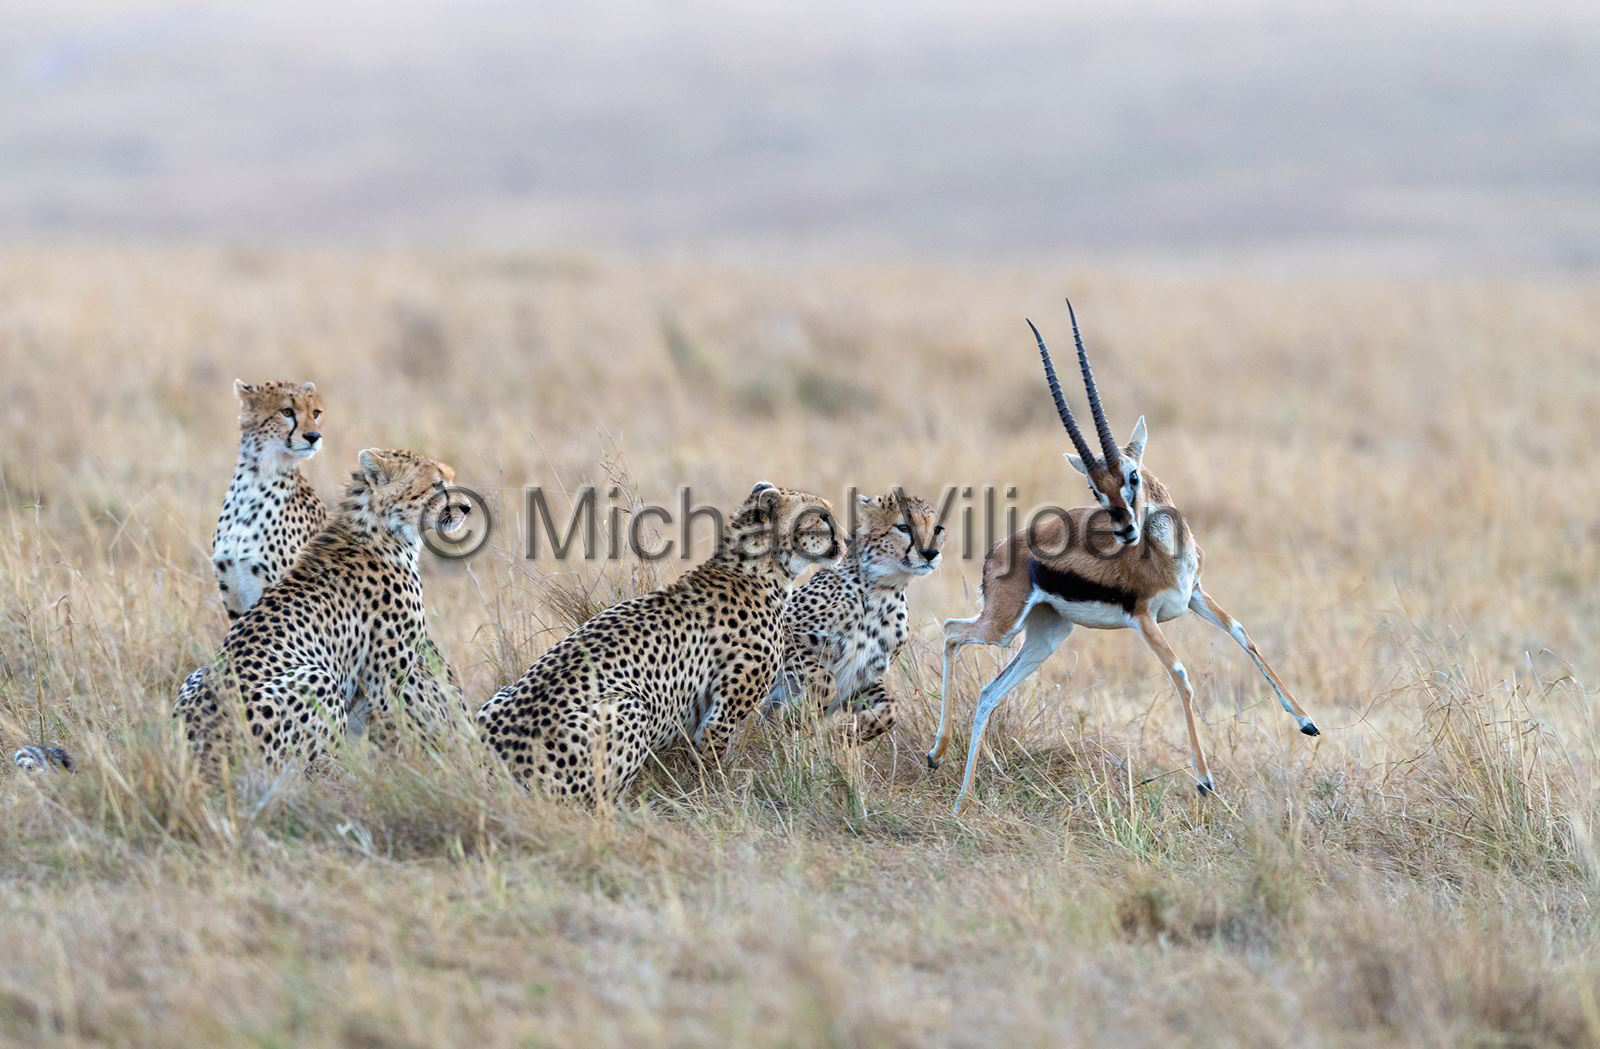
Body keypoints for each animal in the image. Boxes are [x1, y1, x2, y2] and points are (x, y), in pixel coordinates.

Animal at [175, 447, 469, 770]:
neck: (379, 532)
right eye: (437, 484)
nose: (467, 507)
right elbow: (393, 740)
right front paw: (401, 773)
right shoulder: (383, 687)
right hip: (319, 679)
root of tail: (204, 745)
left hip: (195, 676)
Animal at [475, 482, 842, 805]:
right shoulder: (722, 713)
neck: (757, 568)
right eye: (822, 516)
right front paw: (714, 796)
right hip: (631, 708)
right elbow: (710, 763)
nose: (845, 540)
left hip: (497, 698)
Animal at [766, 489, 944, 743]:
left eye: (937, 529)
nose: (930, 553)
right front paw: (800, 714)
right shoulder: (784, 636)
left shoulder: (862, 675)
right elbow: (824, 679)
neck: (883, 589)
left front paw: (847, 734)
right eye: (903, 527)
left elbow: (891, 709)